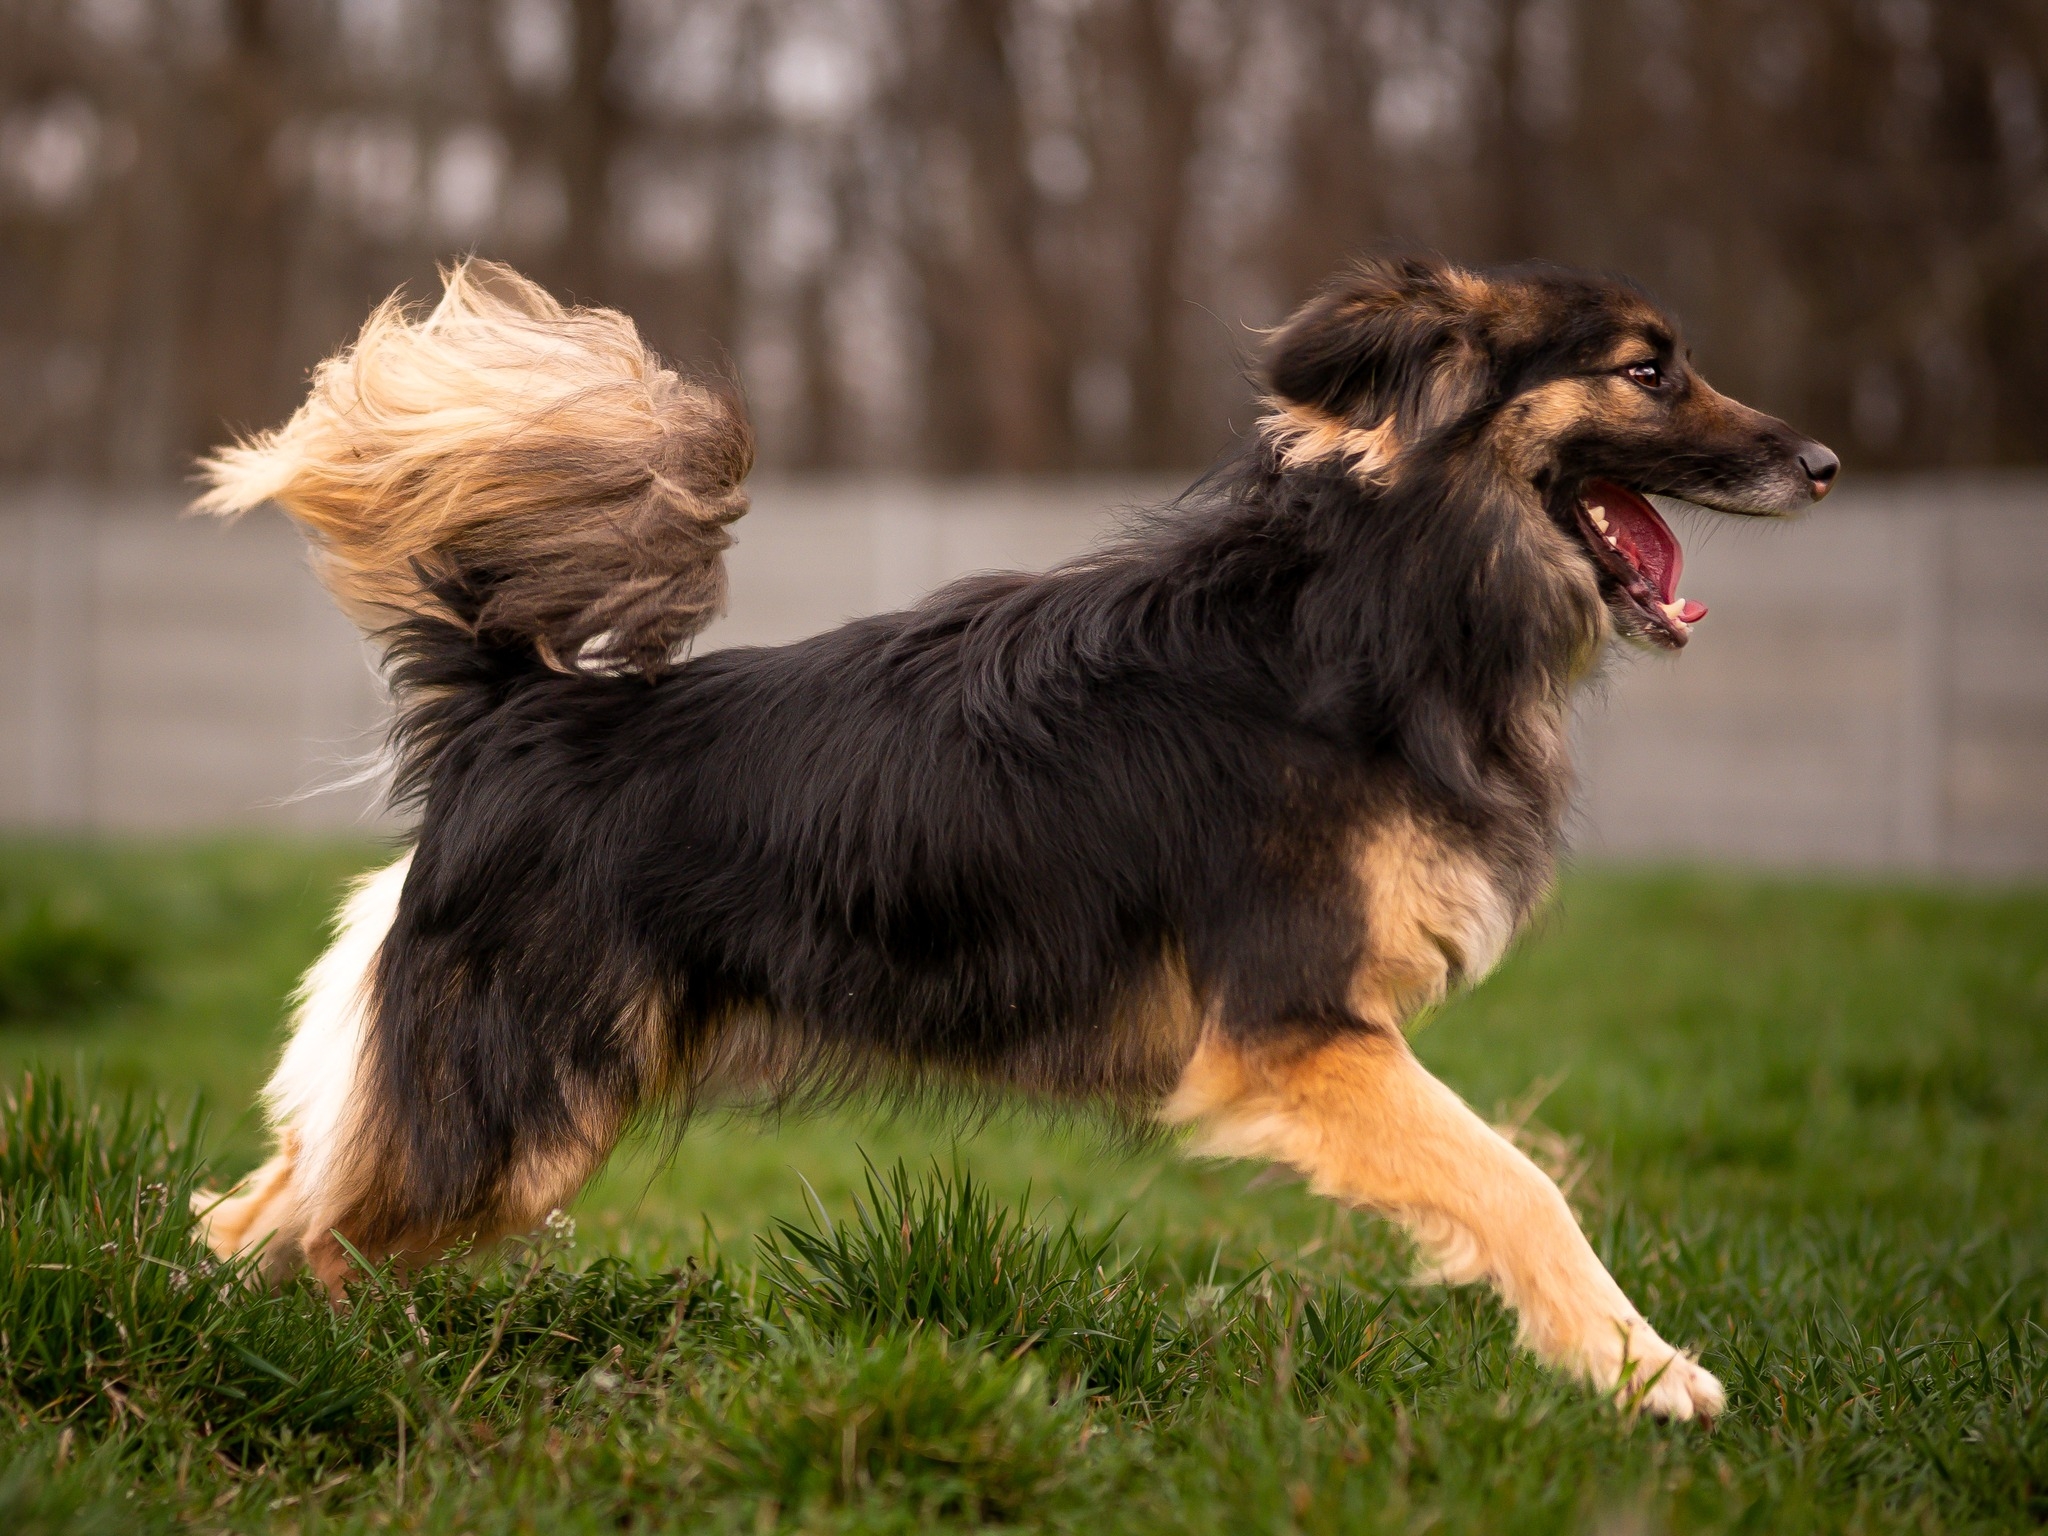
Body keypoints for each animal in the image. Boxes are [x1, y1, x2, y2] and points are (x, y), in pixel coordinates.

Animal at [195, 252, 1843, 1417]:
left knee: (266, 1211)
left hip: (491, 1114)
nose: (1824, 465)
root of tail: (517, 706)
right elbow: (1517, 1182)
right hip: (515, 1111)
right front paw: (1645, 1376)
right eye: (1647, 371)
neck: (1367, 608)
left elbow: (1507, 1176)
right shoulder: (1295, 1031)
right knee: (302, 1232)